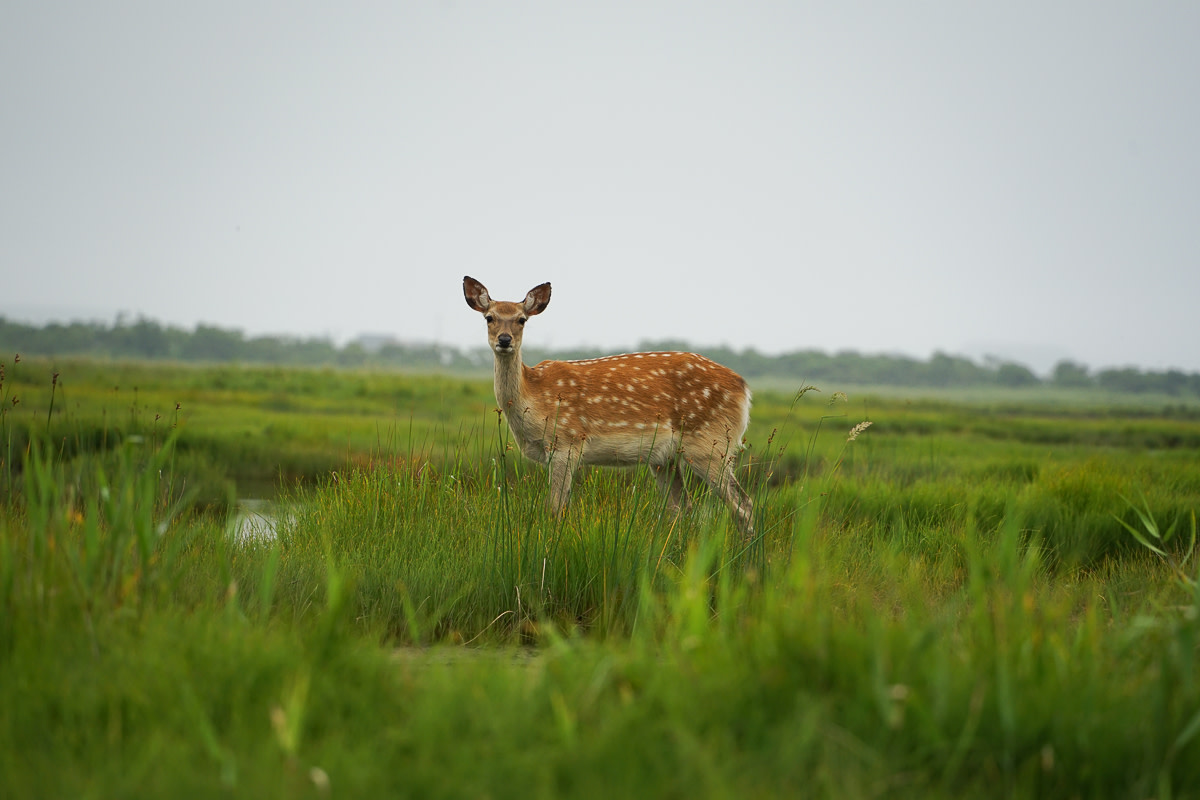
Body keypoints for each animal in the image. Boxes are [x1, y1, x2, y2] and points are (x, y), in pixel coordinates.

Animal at [463, 275, 753, 537]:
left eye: (522, 319)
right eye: (489, 317)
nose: (504, 340)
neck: (533, 397)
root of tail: (744, 389)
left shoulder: (567, 441)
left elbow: (555, 509)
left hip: (711, 442)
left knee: (743, 504)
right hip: (666, 458)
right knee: (681, 508)